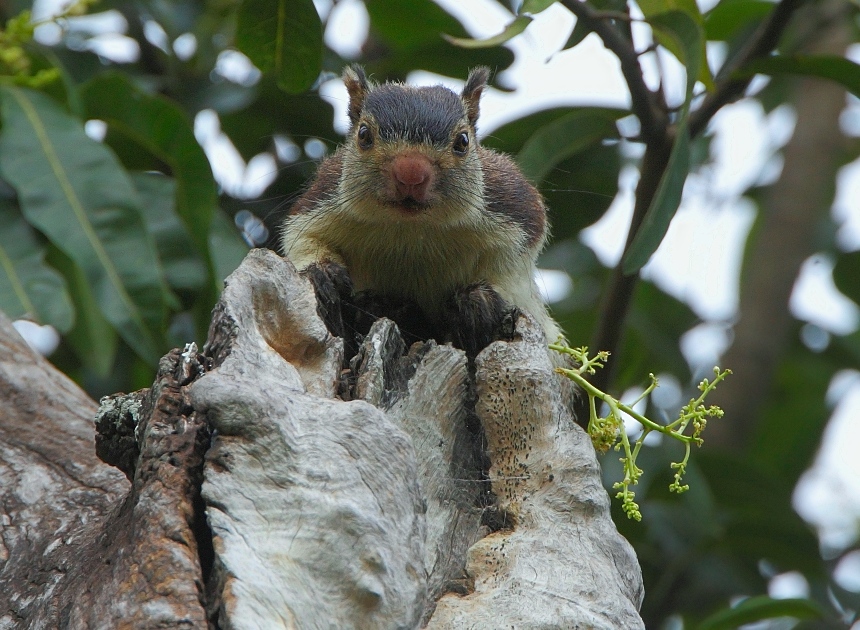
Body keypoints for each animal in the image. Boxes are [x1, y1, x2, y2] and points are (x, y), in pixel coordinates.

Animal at [282, 67, 560, 360]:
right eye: (364, 135)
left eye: (463, 141)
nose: (411, 174)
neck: (412, 228)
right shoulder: (318, 203)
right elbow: (302, 239)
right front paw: (324, 270)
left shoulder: (516, 210)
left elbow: (512, 269)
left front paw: (480, 298)